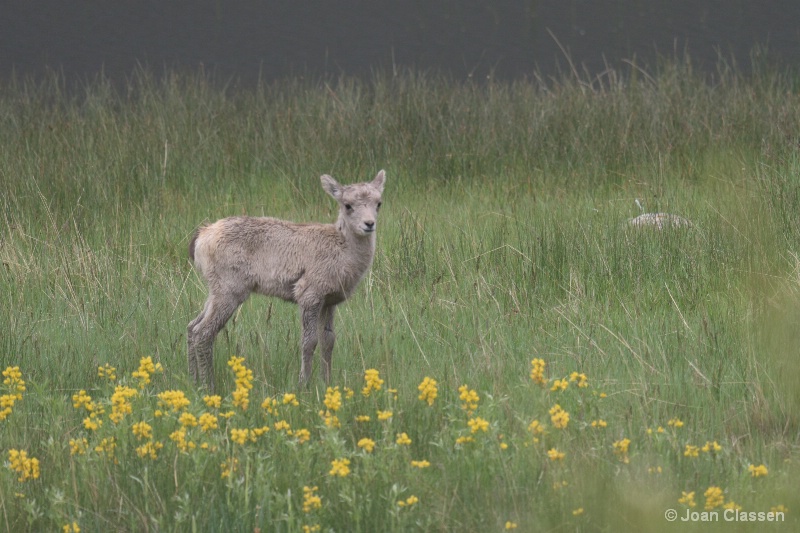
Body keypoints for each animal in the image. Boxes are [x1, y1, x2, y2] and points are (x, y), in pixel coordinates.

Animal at [188, 170, 388, 390]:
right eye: (348, 205)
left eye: (379, 203)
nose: (369, 224)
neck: (342, 250)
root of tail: (201, 238)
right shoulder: (309, 293)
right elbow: (309, 341)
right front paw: (304, 385)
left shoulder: (330, 300)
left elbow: (328, 340)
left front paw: (326, 383)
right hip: (229, 290)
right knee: (203, 333)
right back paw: (208, 386)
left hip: (215, 289)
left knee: (191, 327)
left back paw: (194, 381)